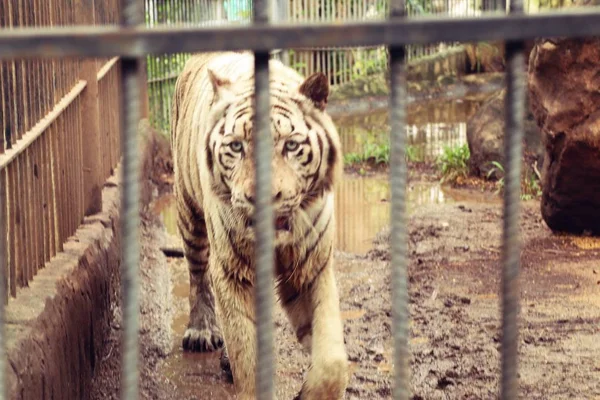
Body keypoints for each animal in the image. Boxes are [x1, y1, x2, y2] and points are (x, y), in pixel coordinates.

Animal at [170, 50, 346, 400]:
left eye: (291, 146)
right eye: (236, 146)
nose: (262, 198)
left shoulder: (311, 269)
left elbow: (333, 362)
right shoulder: (232, 272)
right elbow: (246, 354)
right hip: (189, 214)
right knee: (198, 276)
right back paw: (200, 331)